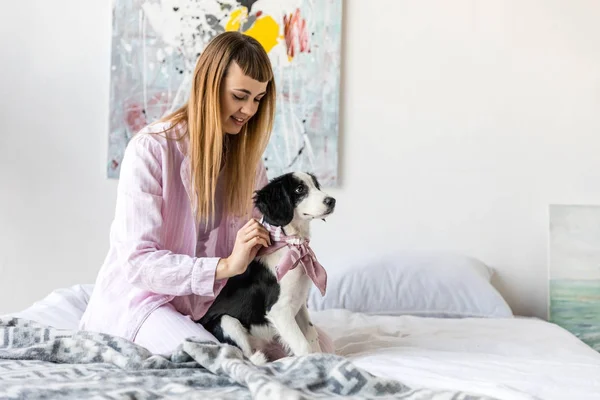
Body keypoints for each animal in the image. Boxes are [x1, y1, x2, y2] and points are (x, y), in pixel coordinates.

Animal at [198, 170, 336, 364]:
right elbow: (303, 346)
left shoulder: (300, 304)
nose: (332, 201)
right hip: (226, 322)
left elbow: (311, 336)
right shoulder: (279, 310)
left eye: (316, 186)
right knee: (247, 357)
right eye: (299, 189)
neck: (291, 244)